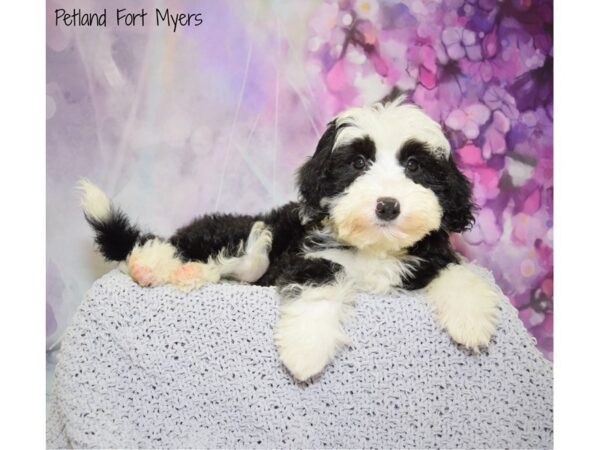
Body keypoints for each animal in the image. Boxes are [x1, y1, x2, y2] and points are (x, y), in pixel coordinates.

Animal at [79, 96, 502, 382]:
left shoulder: (430, 257)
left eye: (414, 165)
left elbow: (459, 272)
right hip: (229, 231)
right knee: (176, 247)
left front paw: (472, 320)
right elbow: (322, 280)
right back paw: (155, 265)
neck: (374, 249)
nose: (387, 206)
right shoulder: (306, 254)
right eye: (358, 163)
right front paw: (306, 349)